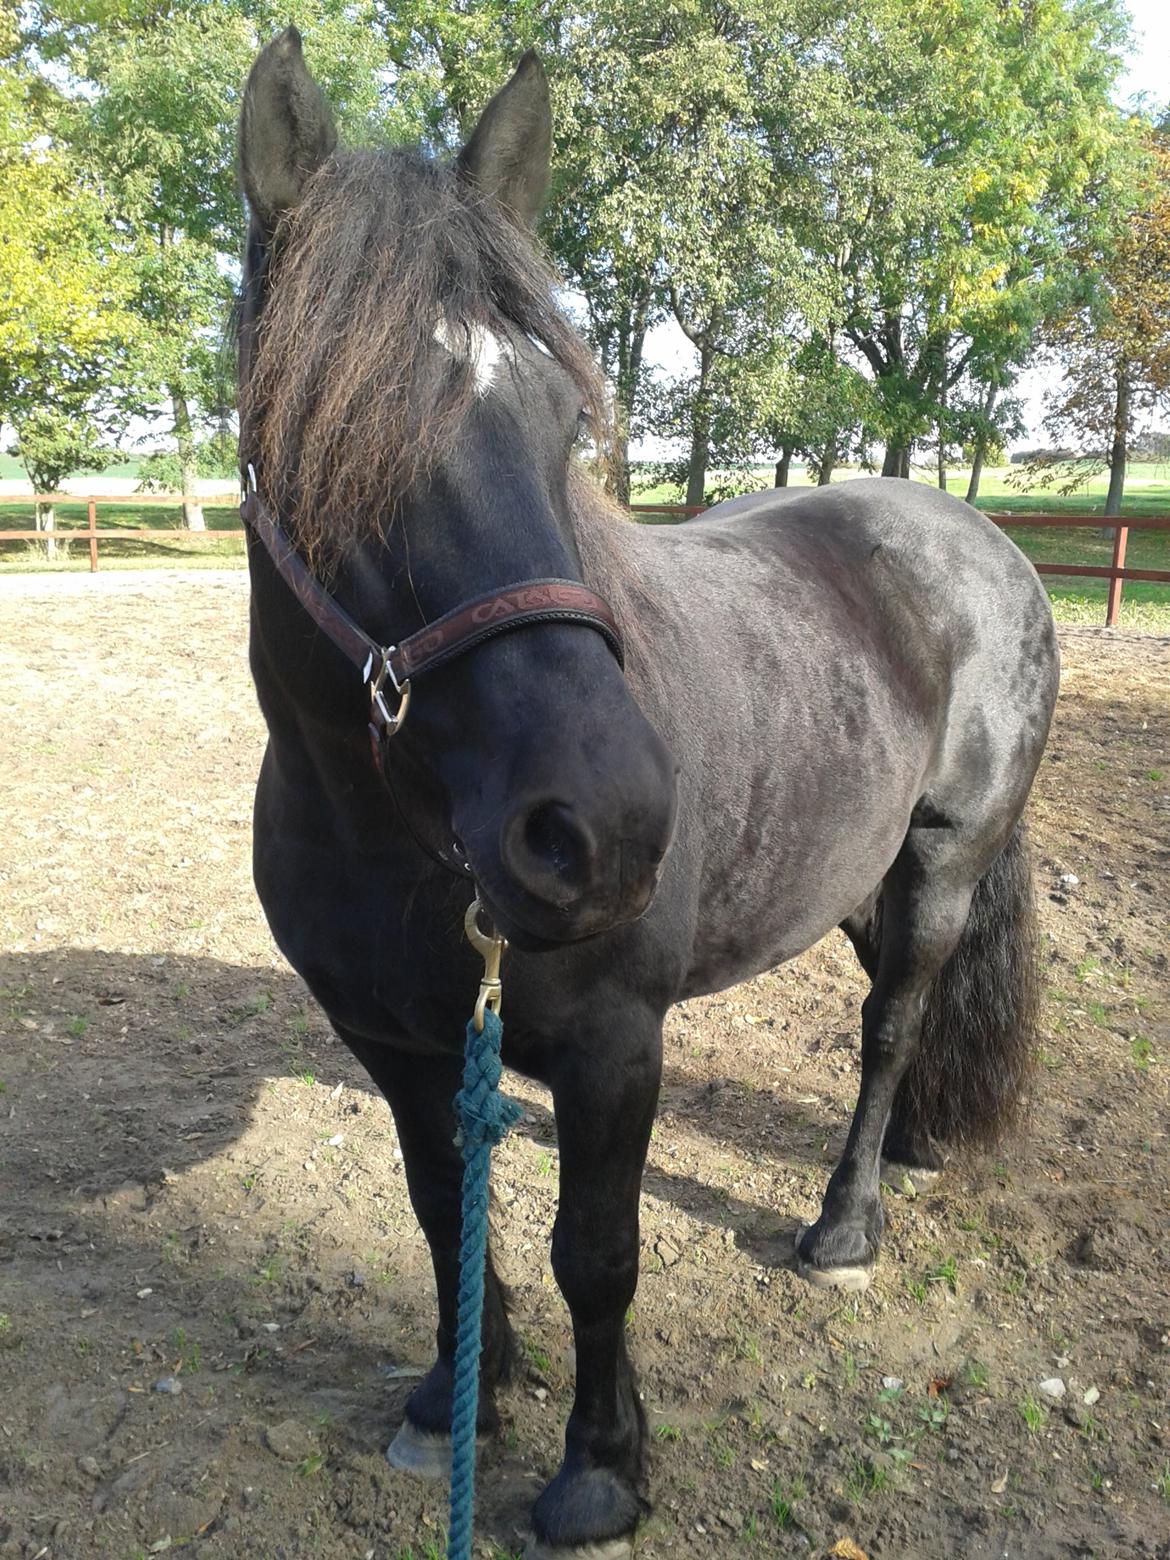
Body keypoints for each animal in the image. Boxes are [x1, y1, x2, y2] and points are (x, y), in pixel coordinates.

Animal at [235, 27, 1060, 1560]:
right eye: (319, 432)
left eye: (565, 418)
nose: (604, 829)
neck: (398, 837)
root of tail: (976, 538)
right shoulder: (392, 1041)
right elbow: (441, 1211)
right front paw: (458, 1395)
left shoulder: (617, 1049)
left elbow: (596, 1253)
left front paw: (600, 1469)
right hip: (849, 866)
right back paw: (918, 1146)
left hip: (939, 862)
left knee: (889, 1024)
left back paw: (844, 1223)